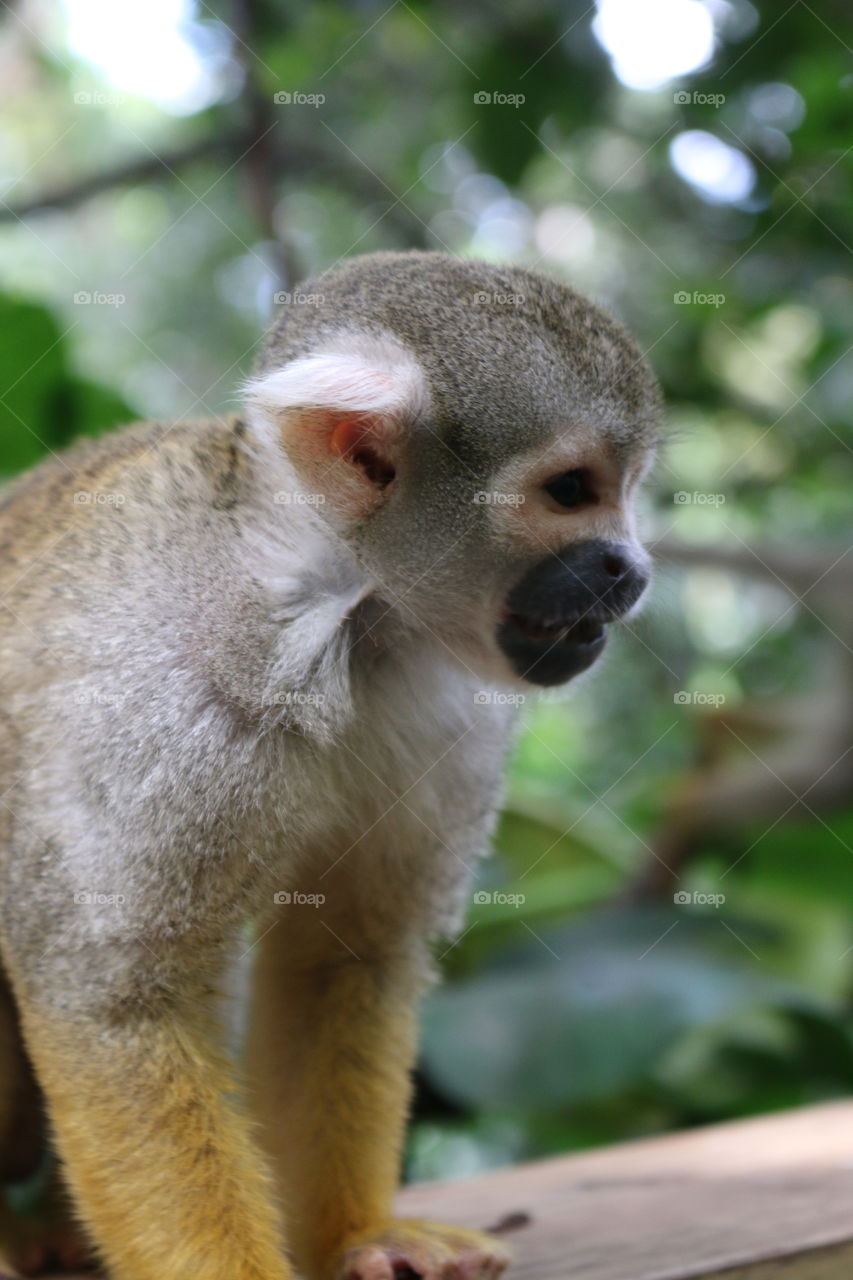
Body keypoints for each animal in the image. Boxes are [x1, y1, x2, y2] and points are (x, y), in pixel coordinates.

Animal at [0, 250, 661, 1280]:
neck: (330, 624)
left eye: (626, 487)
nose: (629, 569)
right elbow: (114, 1002)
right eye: (569, 490)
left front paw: (362, 1236)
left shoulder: (449, 714)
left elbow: (343, 957)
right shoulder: (150, 711)